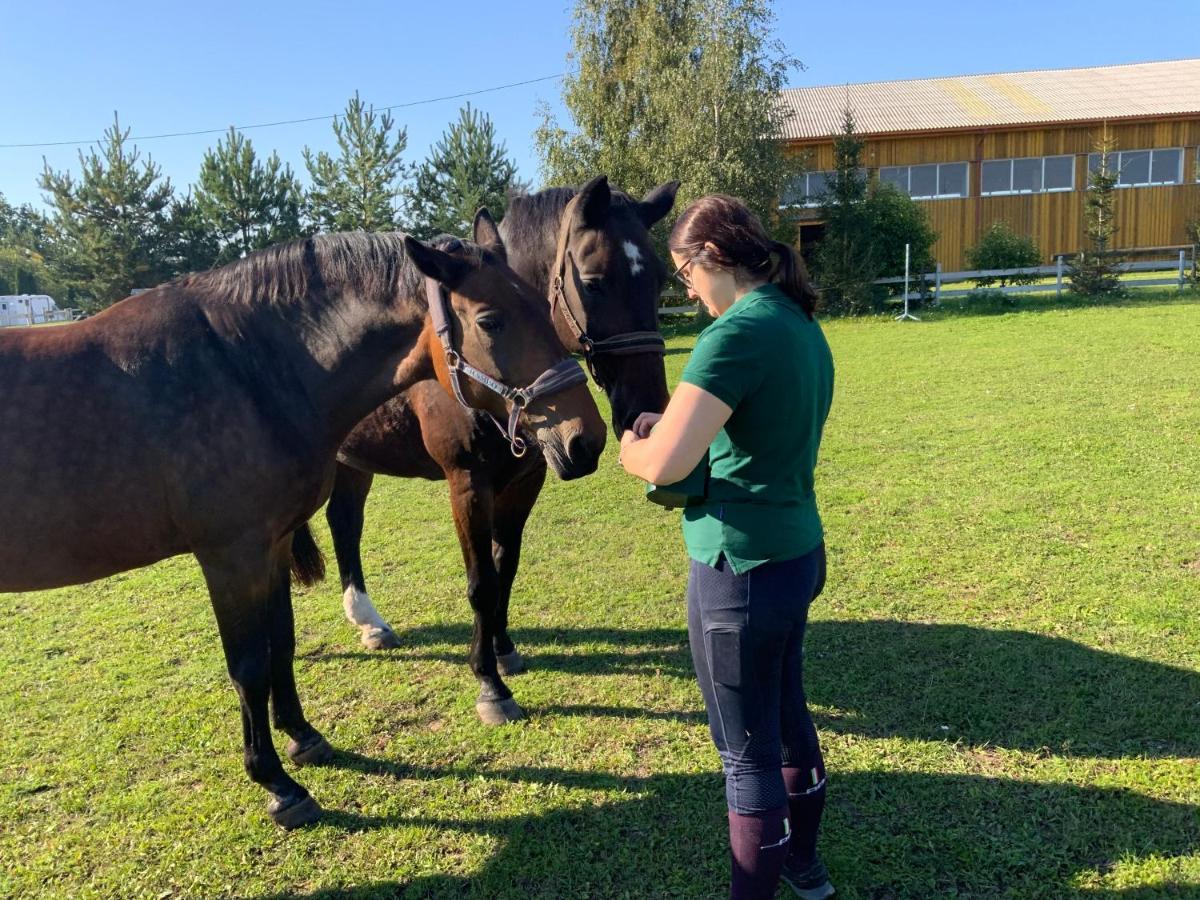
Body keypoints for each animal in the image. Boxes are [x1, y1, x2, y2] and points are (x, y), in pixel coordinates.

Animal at [321, 174, 676, 724]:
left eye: (659, 279)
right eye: (594, 281)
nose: (648, 408)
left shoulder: (524, 481)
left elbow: (505, 564)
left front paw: (504, 651)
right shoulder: (468, 484)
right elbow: (481, 582)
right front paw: (489, 683)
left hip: (354, 462)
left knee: (345, 522)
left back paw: (369, 620)